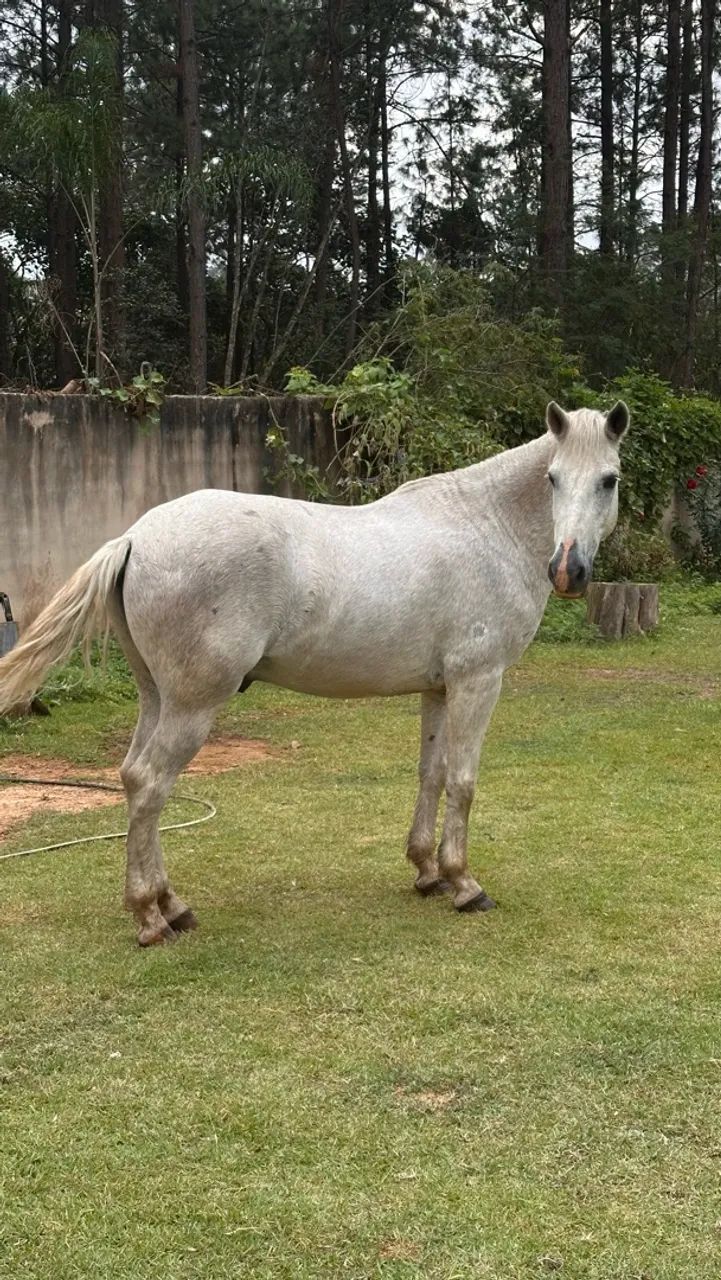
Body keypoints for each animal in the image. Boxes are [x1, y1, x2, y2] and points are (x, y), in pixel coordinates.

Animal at [0, 401, 630, 945]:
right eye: (552, 478)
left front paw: (427, 871)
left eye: (608, 479)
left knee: (133, 778)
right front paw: (464, 883)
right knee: (152, 783)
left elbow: (431, 775)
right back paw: (150, 918)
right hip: (193, 706)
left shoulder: (439, 689)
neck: (487, 526)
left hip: (157, 697)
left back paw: (172, 906)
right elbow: (464, 782)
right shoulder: (479, 682)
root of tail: (135, 537)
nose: (568, 569)